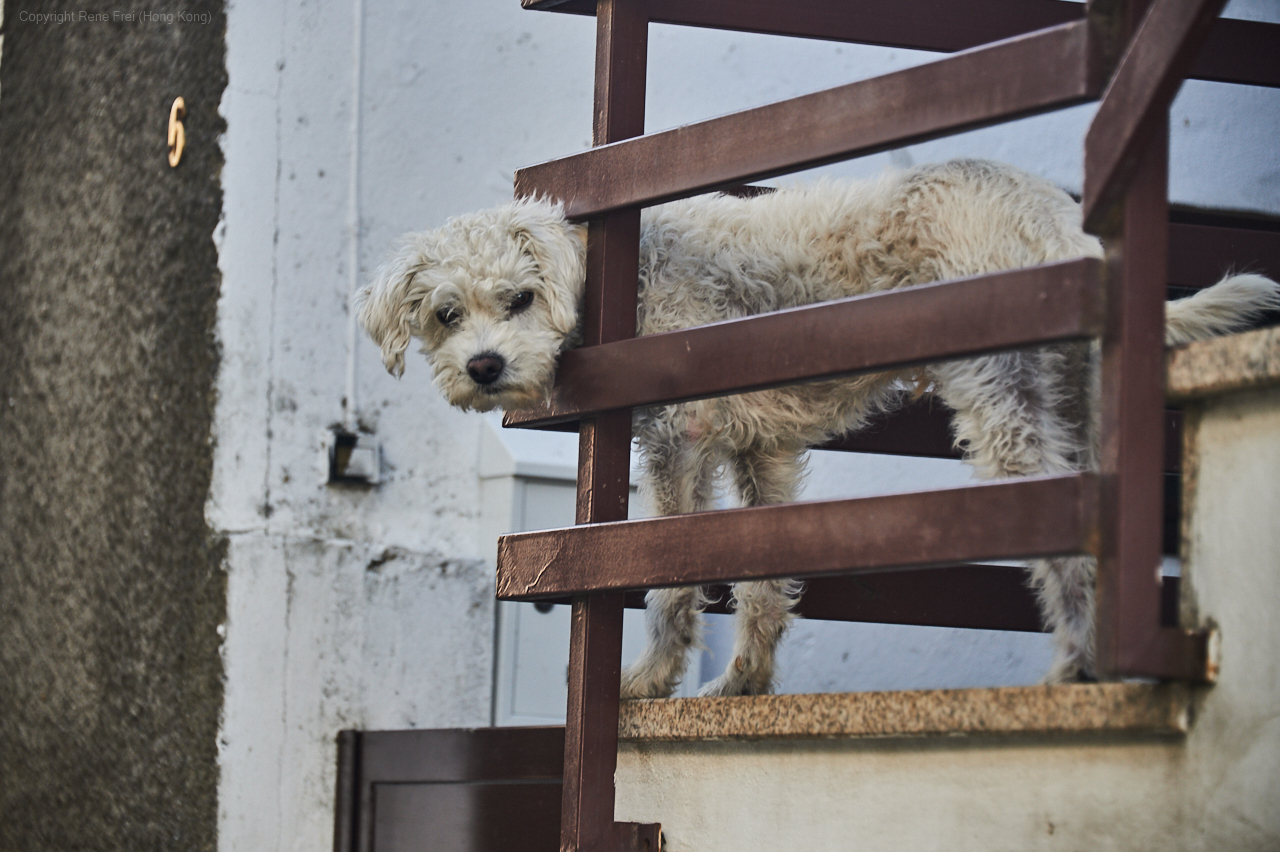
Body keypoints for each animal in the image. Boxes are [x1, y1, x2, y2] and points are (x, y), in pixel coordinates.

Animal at [360, 161, 1280, 695]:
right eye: (446, 314)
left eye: (519, 298)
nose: (484, 367)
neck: (630, 274)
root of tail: (1056, 215)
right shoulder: (759, 450)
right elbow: (762, 575)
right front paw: (745, 679)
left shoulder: (679, 436)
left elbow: (668, 576)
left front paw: (651, 679)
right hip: (1070, 397)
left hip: (1003, 399)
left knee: (1067, 535)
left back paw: (1078, 667)